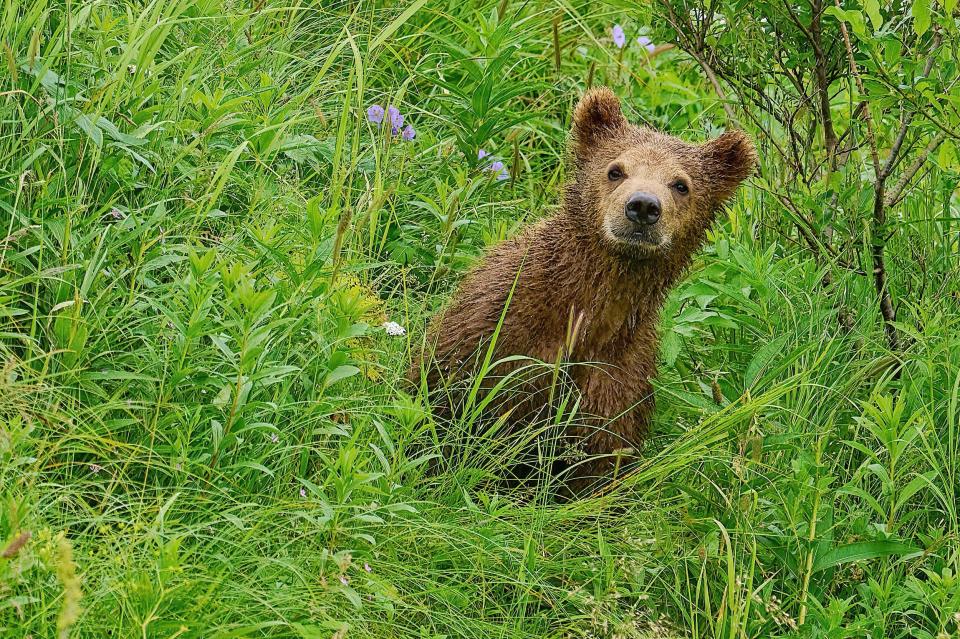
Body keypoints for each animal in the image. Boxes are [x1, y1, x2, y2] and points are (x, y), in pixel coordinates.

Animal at [412, 86, 756, 496]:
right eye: (615, 169)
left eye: (681, 184)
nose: (643, 206)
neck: (590, 310)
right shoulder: (497, 336)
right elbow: (453, 412)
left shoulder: (616, 381)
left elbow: (597, 466)